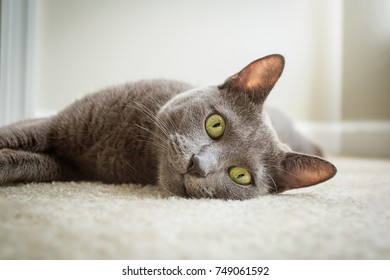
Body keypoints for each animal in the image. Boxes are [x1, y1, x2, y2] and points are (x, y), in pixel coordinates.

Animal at [0, 54, 336, 199]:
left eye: (240, 176)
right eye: (215, 124)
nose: (198, 165)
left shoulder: (68, 168)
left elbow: (25, 162)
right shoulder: (54, 126)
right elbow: (16, 135)